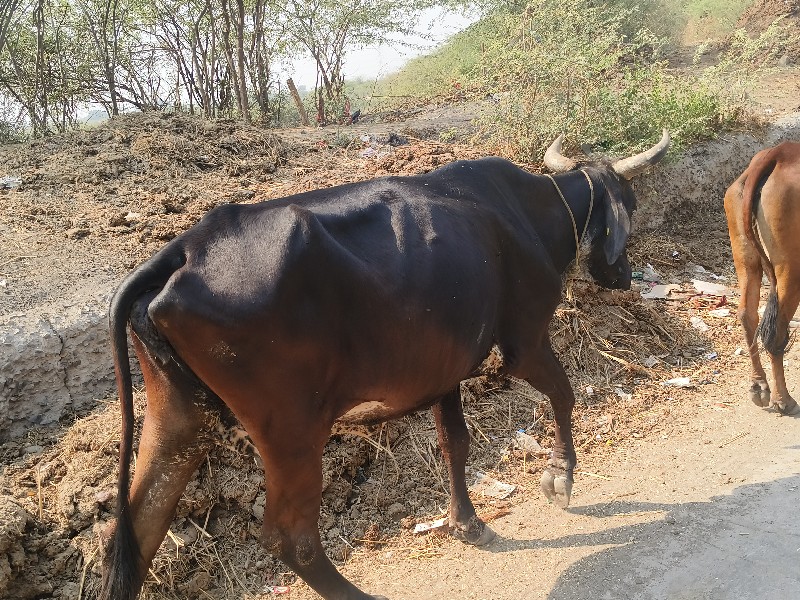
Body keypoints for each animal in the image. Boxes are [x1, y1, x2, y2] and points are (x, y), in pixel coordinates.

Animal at [103, 130, 672, 600]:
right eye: (632, 204)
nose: (623, 275)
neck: (527, 212)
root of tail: (183, 249)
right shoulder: (525, 341)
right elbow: (563, 393)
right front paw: (560, 477)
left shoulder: (445, 368)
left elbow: (455, 442)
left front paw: (467, 523)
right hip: (291, 430)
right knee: (291, 538)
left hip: (180, 420)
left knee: (139, 531)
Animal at [724, 142, 800, 418]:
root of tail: (778, 153)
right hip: (791, 268)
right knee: (776, 331)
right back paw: (783, 399)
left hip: (746, 258)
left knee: (747, 314)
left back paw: (759, 385)